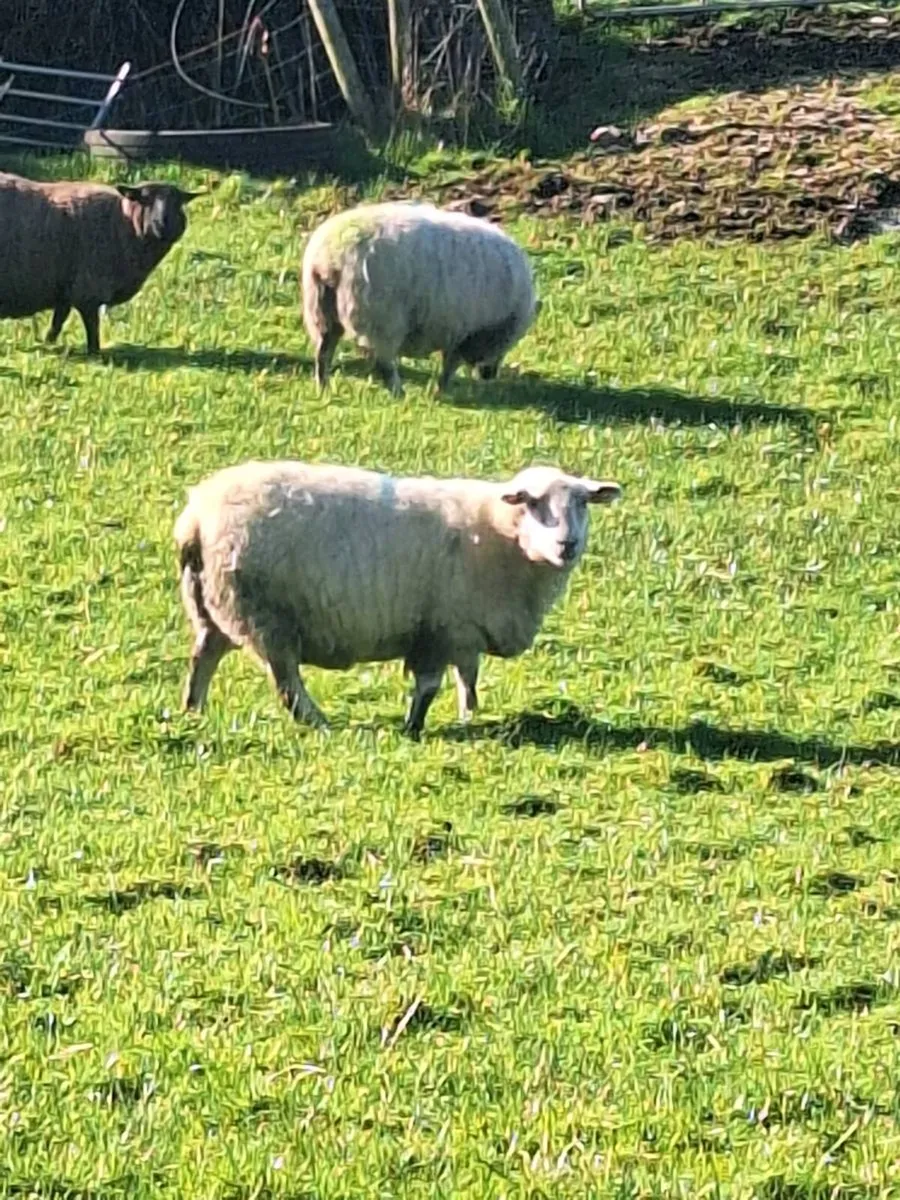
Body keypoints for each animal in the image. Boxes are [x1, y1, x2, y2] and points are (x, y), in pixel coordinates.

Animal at [0, 172, 200, 354]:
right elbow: (91, 324)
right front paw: (94, 353)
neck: (123, 222)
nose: (163, 224)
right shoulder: (89, 287)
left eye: (178, 202)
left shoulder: (67, 289)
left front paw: (48, 344)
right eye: (145, 199)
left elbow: (58, 321)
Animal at [174, 460, 622, 738]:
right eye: (532, 502)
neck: (500, 532)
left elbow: (468, 678)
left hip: (212, 606)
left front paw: (470, 715)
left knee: (202, 659)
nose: (568, 544)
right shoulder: (441, 629)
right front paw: (414, 728)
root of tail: (195, 517)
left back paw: (192, 712)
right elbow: (430, 686)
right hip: (264, 616)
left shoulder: (464, 630)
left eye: (582, 503)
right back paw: (320, 723)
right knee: (287, 684)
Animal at [301, 200, 538, 396]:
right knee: (383, 361)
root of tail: (331, 256)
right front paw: (441, 391)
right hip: (380, 317)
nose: (490, 375)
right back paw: (398, 392)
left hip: (320, 308)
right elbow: (451, 364)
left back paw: (323, 386)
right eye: (509, 342)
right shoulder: (465, 332)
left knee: (323, 351)